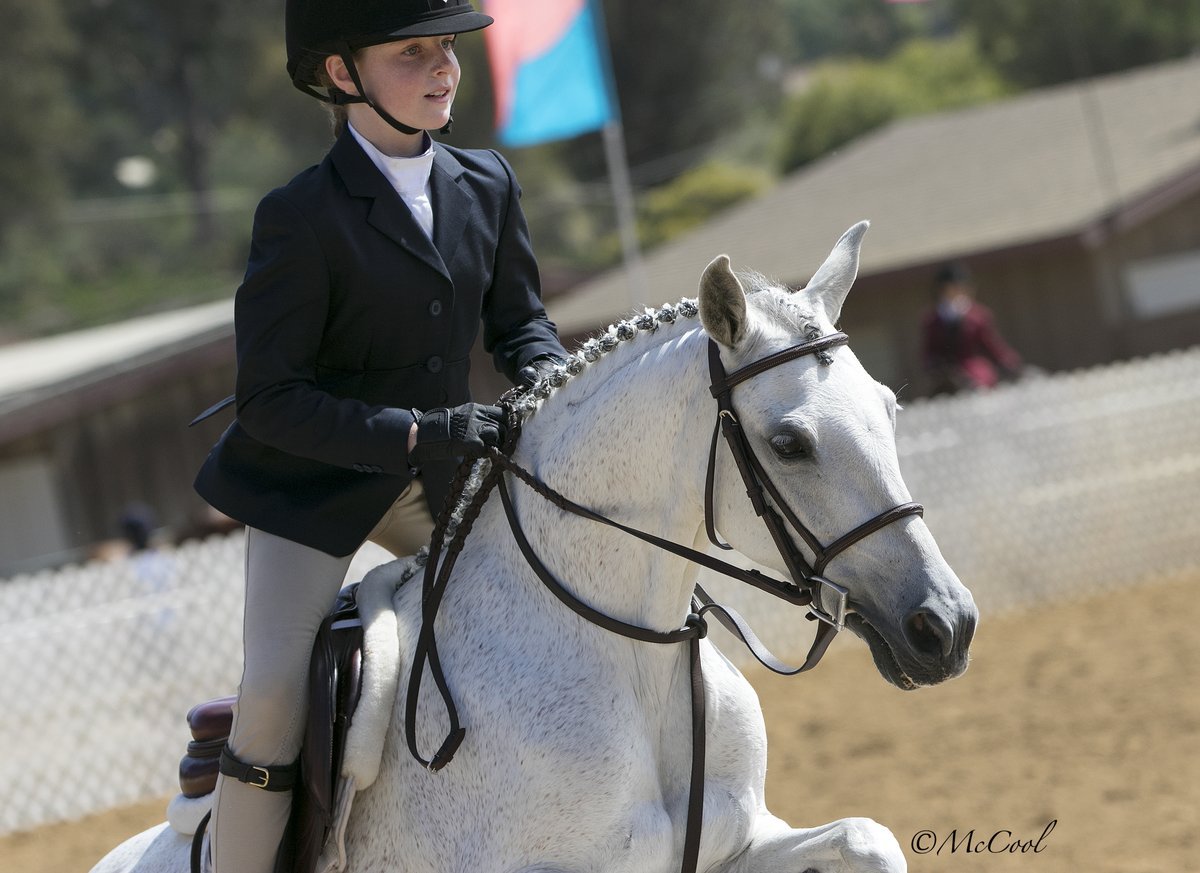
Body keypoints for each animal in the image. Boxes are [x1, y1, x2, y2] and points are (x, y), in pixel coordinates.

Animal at [93, 221, 977, 873]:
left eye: (890, 406)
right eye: (789, 443)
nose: (946, 626)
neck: (635, 662)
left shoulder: (737, 844)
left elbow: (869, 838)